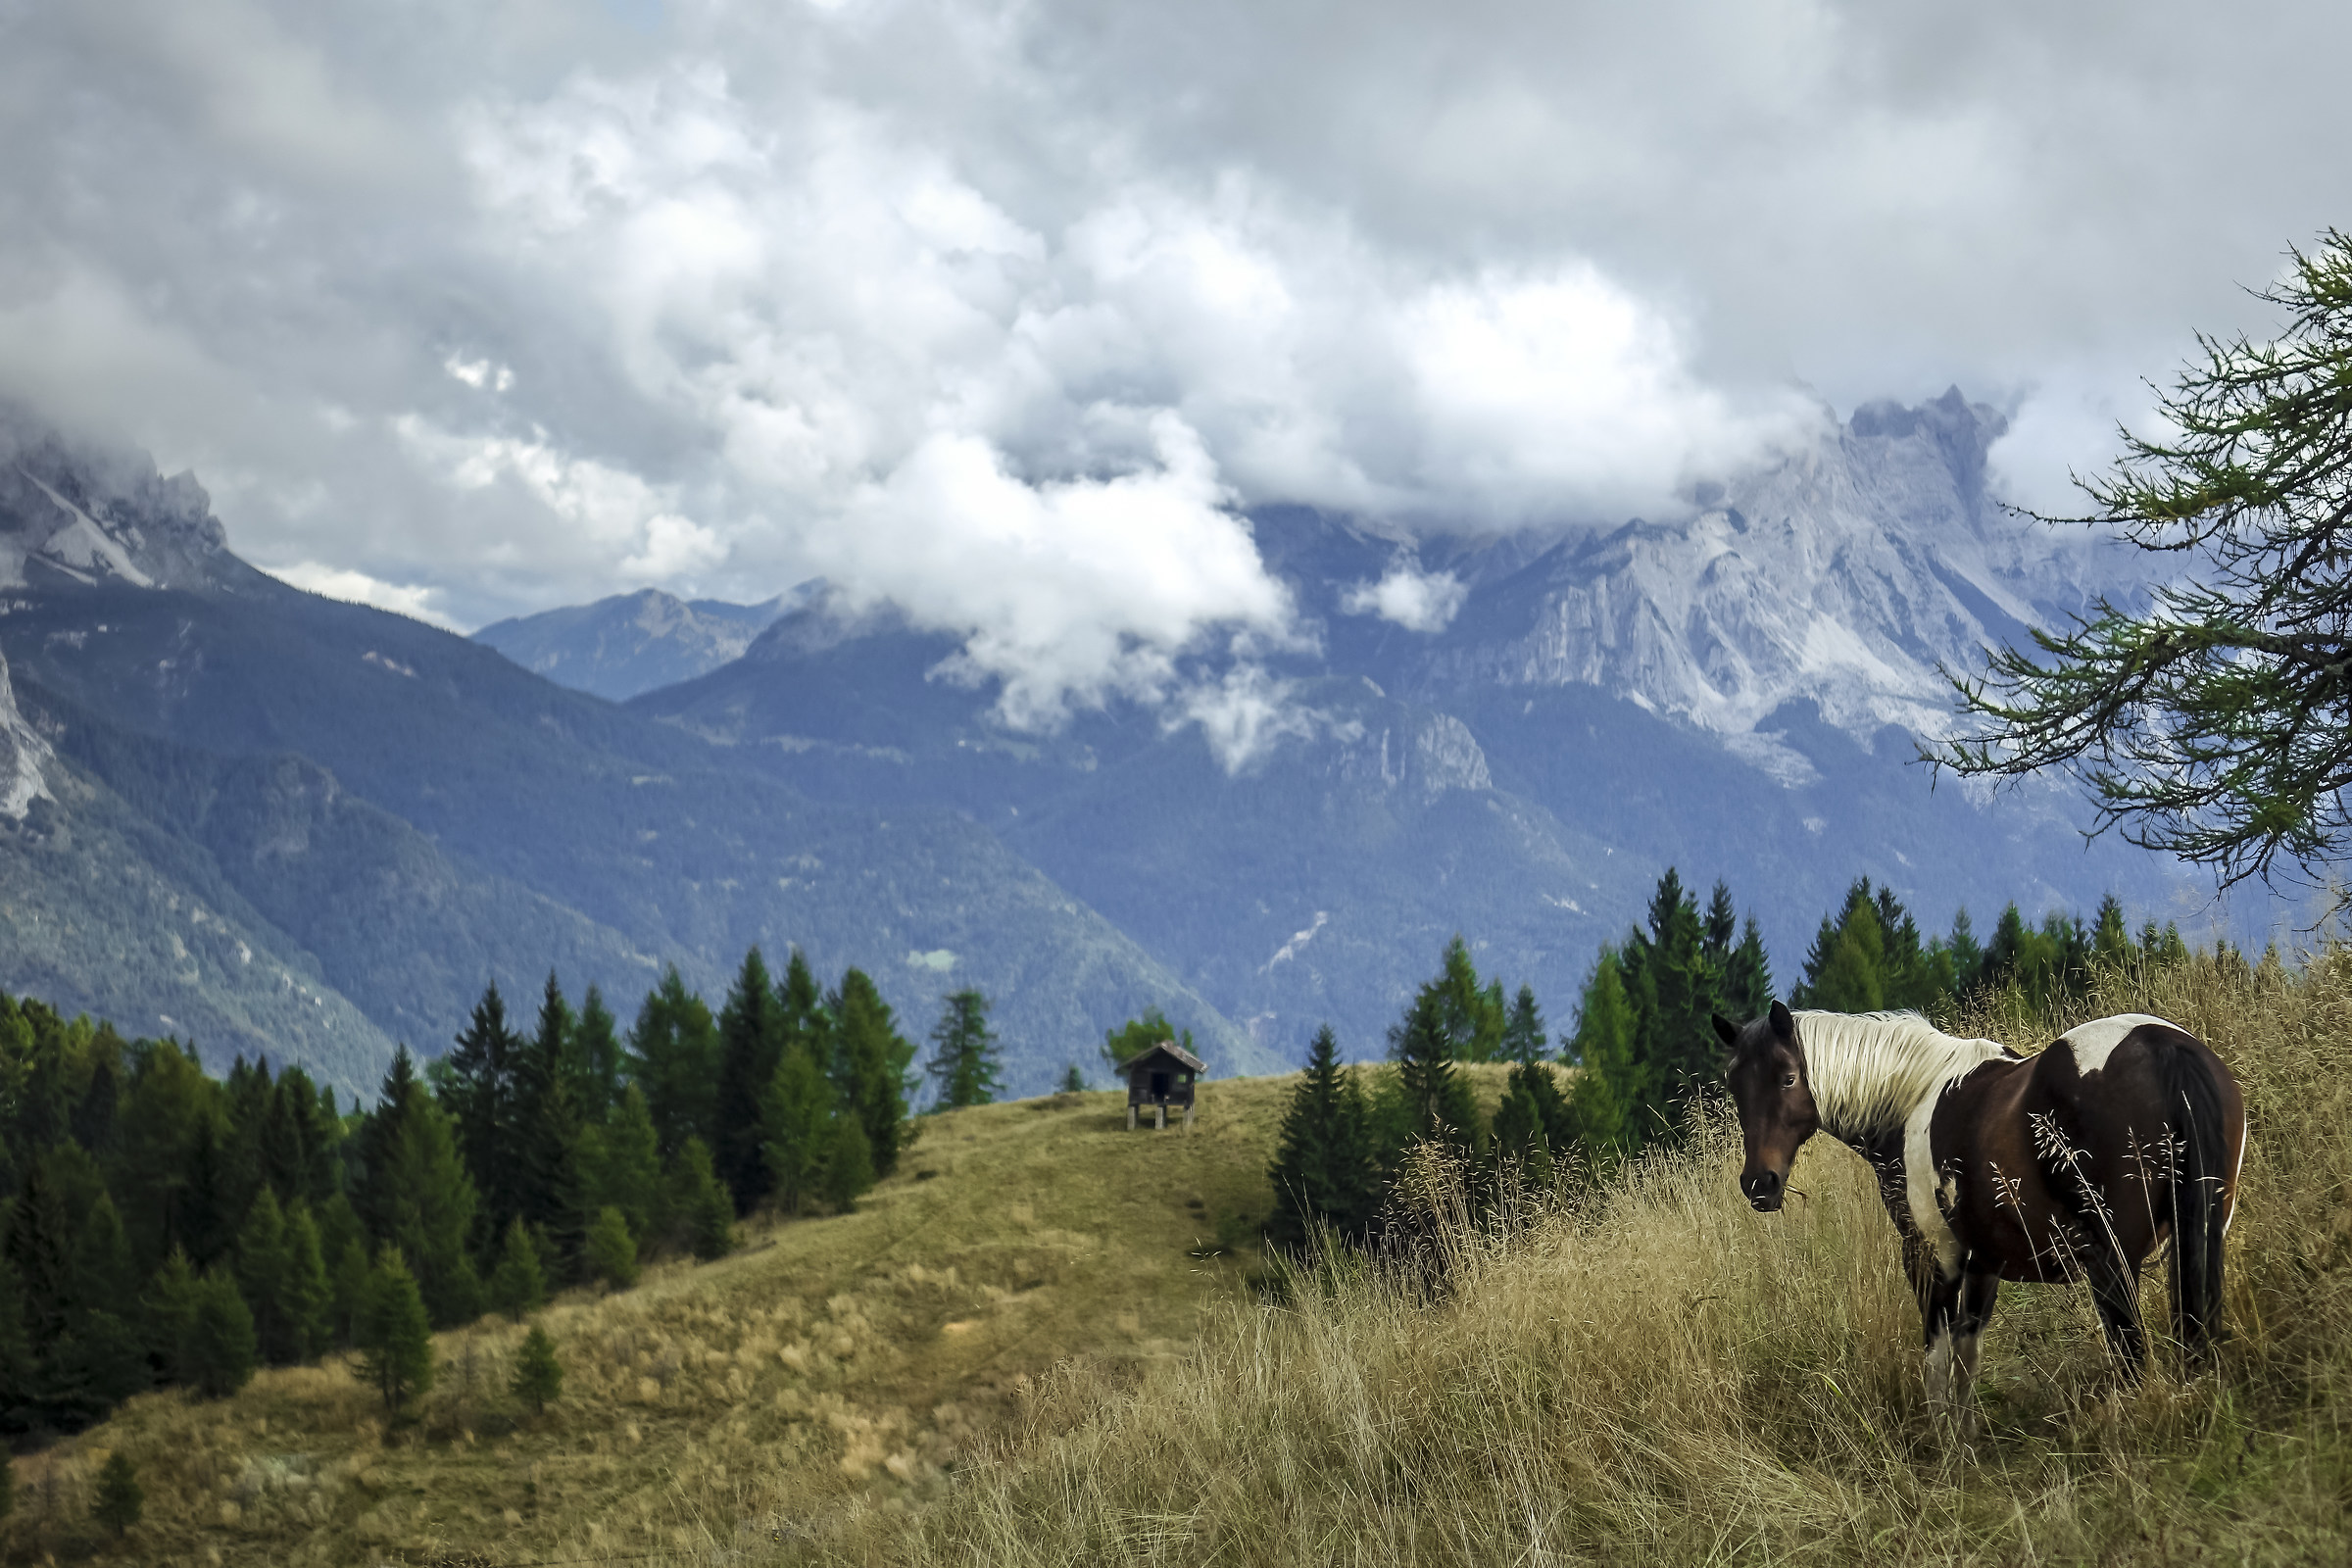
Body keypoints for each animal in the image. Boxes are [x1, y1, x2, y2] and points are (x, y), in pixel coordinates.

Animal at [1714, 1002, 2245, 1431]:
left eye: (1787, 1077)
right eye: (1735, 1085)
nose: (1759, 1184)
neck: (1911, 1099)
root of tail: (2163, 1047)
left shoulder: (1932, 1256)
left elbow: (1937, 1351)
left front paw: (1943, 1439)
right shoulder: (1983, 1262)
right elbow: (1968, 1347)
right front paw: (1966, 1436)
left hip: (2113, 1262)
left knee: (2132, 1356)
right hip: (2197, 1238)